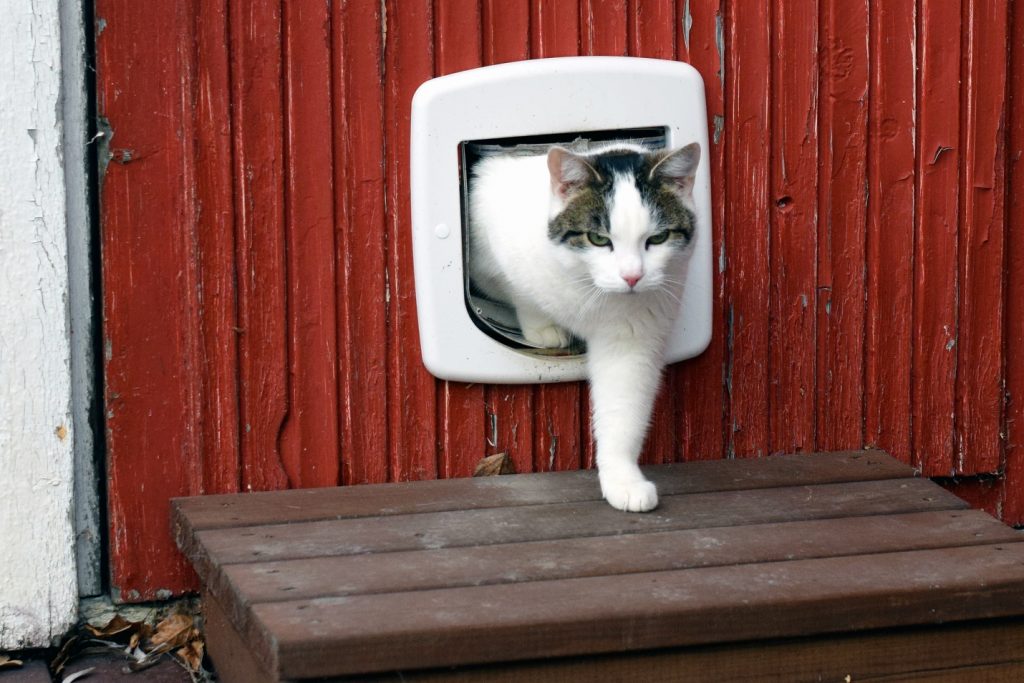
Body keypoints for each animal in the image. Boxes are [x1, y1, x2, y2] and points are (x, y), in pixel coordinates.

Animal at [468, 140, 700, 511]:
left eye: (659, 238)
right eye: (598, 239)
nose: (632, 276)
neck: (586, 285)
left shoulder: (630, 340)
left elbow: (623, 410)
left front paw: (622, 480)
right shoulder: (494, 244)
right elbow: (520, 293)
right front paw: (542, 327)